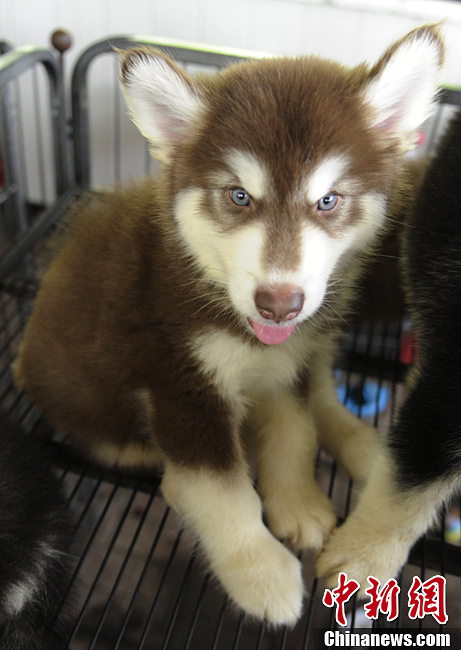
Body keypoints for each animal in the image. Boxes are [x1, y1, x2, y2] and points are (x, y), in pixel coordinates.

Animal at [15, 27, 442, 624]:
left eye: (328, 200)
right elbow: (220, 490)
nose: (279, 305)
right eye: (239, 196)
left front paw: (298, 501)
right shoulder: (180, 384)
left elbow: (295, 432)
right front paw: (259, 570)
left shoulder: (286, 364)